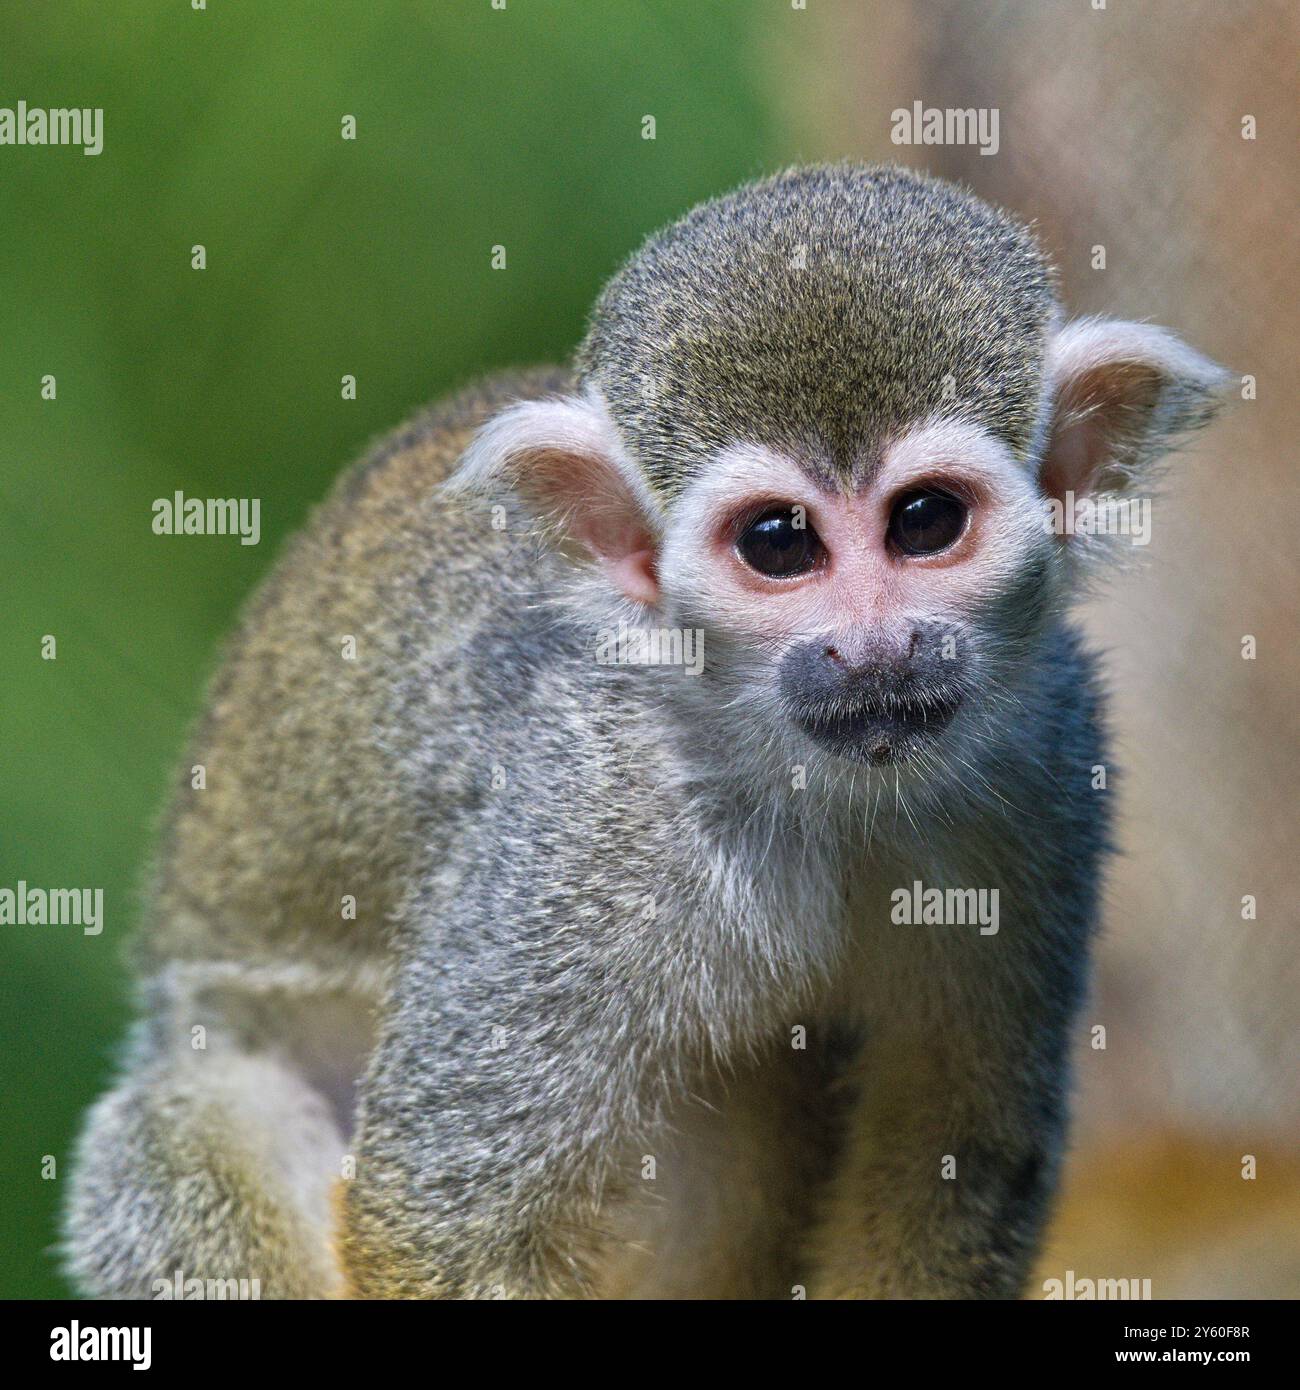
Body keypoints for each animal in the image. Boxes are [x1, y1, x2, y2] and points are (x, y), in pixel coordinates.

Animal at [64, 163, 1228, 1299]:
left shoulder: (1046, 760)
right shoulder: (585, 819)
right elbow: (443, 1211)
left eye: (926, 521)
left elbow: (957, 1159)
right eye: (777, 542)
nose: (874, 648)